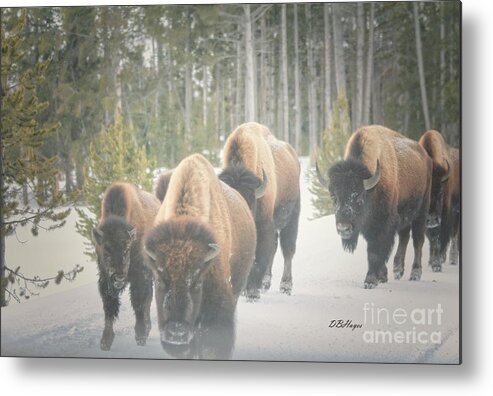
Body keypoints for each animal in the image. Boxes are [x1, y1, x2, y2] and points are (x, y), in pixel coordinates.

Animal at [92, 183, 160, 350]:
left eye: (126, 249)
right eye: (106, 250)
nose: (119, 277)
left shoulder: (140, 277)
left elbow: (139, 304)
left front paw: (140, 336)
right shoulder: (105, 280)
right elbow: (109, 308)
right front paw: (105, 342)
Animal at [219, 120, 300, 300]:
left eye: (248, 204)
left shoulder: (264, 224)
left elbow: (259, 256)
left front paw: (252, 292)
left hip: (292, 215)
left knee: (288, 249)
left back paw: (286, 286)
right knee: (275, 247)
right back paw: (265, 283)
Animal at [318, 124, 428, 288]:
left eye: (358, 196)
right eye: (333, 197)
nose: (343, 228)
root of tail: (425, 155)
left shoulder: (383, 225)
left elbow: (375, 252)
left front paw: (370, 280)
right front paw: (381, 276)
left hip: (421, 212)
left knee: (418, 241)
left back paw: (415, 273)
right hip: (406, 217)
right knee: (404, 238)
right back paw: (397, 270)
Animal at [418, 131, 460, 270]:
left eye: (441, 191)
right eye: (424, 193)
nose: (431, 219)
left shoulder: (445, 214)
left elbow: (438, 236)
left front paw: (437, 264)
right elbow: (431, 238)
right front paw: (432, 261)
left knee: (454, 234)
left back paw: (452, 259)